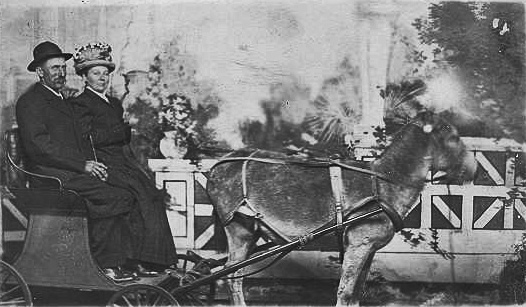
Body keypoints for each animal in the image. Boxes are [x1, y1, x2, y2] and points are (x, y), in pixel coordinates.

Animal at [206, 111, 478, 307]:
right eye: (453, 137)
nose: (475, 170)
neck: (383, 182)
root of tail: (220, 163)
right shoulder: (358, 245)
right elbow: (345, 292)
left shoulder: (368, 249)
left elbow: (356, 294)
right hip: (238, 230)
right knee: (231, 277)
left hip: (251, 232)